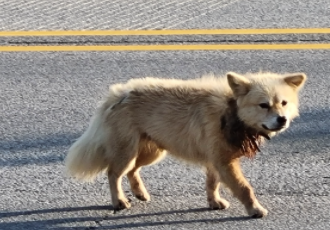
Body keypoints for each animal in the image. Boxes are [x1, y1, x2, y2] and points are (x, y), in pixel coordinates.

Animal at [65, 72, 306, 217]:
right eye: (264, 105)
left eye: (284, 103)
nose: (282, 119)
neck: (231, 111)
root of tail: (117, 93)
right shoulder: (223, 161)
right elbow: (244, 188)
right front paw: (255, 209)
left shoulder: (215, 160)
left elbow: (212, 184)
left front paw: (214, 202)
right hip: (128, 150)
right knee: (114, 172)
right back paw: (119, 201)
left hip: (152, 151)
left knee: (132, 170)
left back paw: (139, 193)